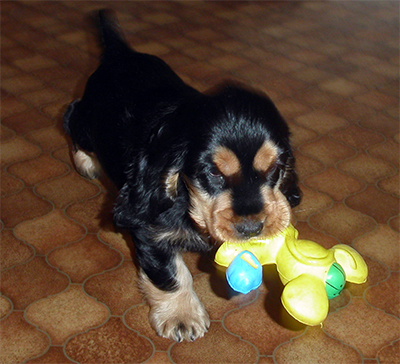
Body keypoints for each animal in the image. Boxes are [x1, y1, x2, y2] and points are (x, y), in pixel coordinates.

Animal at [63, 10, 300, 342]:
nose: (252, 228)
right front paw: (182, 317)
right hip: (87, 122)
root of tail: (120, 54)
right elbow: (171, 274)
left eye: (275, 169)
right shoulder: (149, 229)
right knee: (72, 116)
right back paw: (86, 161)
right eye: (212, 173)